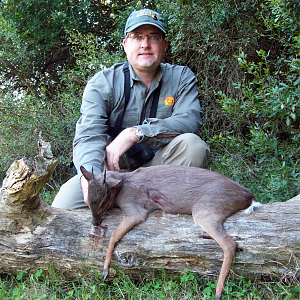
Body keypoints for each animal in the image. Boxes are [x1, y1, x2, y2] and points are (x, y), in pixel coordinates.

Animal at [80, 165, 260, 298]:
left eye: (104, 200)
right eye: (88, 198)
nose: (95, 222)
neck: (123, 185)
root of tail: (248, 196)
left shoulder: (135, 209)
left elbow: (113, 236)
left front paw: (105, 270)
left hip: (206, 210)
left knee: (230, 244)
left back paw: (218, 292)